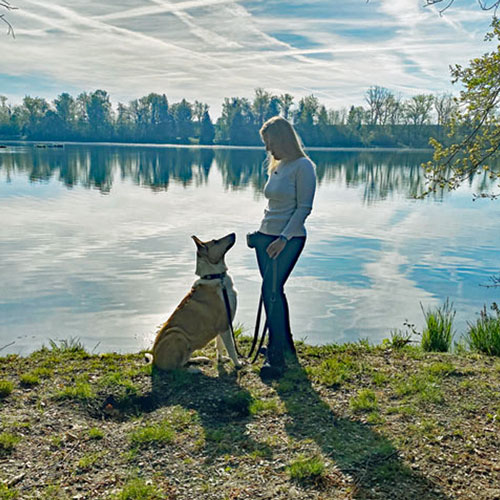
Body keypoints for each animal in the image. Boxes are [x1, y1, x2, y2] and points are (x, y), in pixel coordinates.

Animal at [148, 231, 242, 372]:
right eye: (215, 241)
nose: (234, 233)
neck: (215, 277)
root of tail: (154, 361)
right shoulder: (225, 325)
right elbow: (231, 348)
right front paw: (238, 364)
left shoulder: (222, 326)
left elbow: (219, 345)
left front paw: (221, 359)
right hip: (177, 335)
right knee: (177, 368)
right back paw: (195, 369)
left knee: (184, 361)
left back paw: (199, 359)